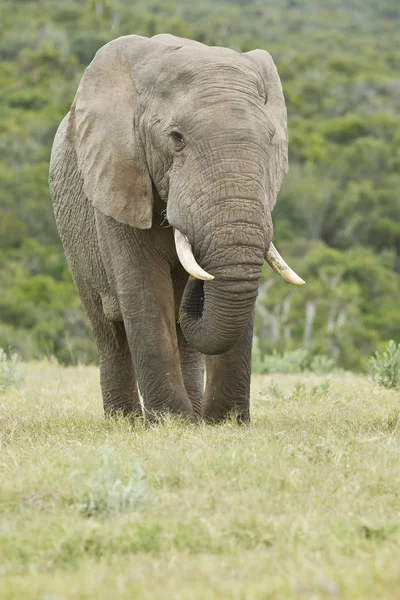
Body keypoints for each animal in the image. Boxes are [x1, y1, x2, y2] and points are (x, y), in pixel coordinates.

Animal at [48, 32, 304, 424]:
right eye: (176, 138)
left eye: (270, 139)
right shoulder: (118, 177)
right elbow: (145, 292)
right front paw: (171, 421)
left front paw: (224, 422)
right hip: (73, 236)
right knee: (109, 330)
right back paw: (126, 422)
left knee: (183, 335)